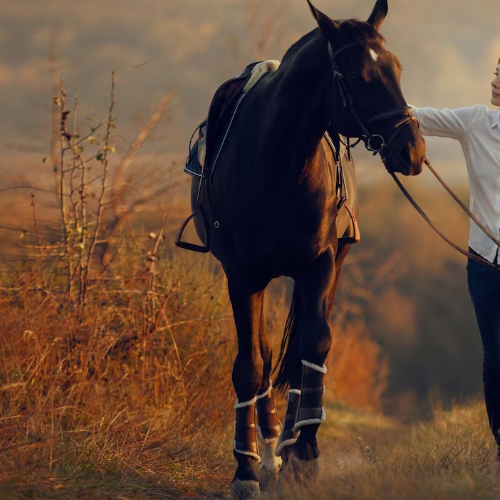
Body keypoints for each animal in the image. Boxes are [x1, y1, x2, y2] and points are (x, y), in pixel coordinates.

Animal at [182, 0, 424, 496]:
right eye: (357, 77)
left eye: (395, 68)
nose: (412, 150)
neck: (277, 162)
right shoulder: (243, 276)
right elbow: (251, 364)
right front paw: (246, 469)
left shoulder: (320, 267)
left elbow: (313, 347)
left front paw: (306, 454)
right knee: (267, 355)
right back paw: (273, 446)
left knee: (297, 356)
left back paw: (290, 444)